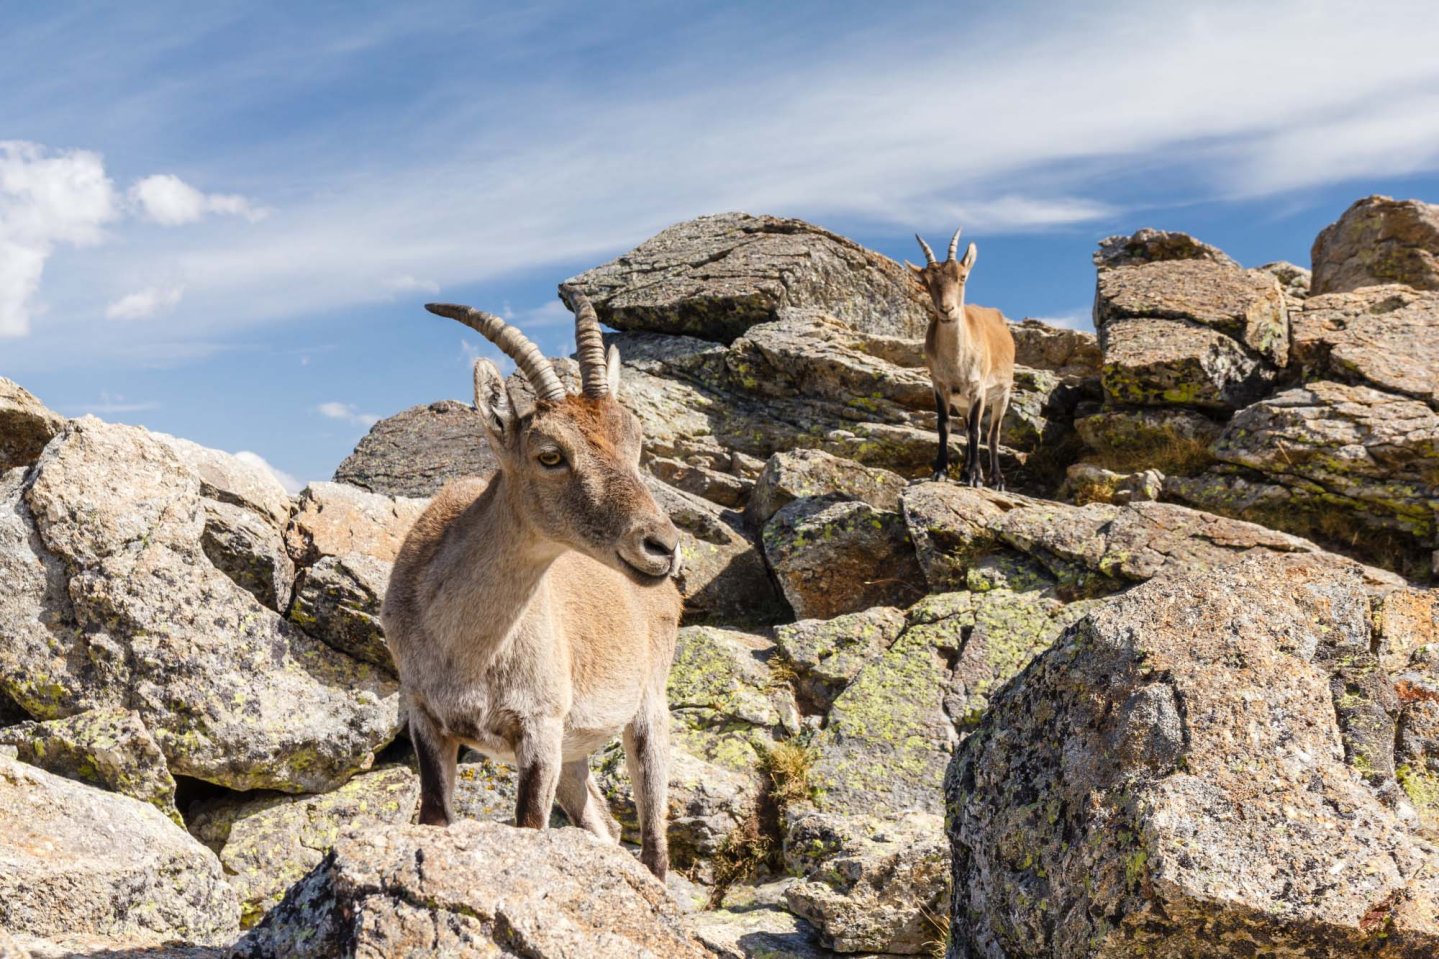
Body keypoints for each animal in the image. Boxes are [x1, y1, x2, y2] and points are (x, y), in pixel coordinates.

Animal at [382, 294, 683, 879]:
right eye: (550, 454)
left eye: (634, 442)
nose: (661, 545)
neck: (467, 644)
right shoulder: (427, 718)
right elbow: (435, 816)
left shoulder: (540, 726)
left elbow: (528, 827)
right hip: (577, 750)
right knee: (604, 825)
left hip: (647, 709)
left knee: (654, 843)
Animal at [907, 228, 1016, 488]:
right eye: (926, 282)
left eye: (962, 276)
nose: (947, 310)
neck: (956, 363)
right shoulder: (940, 385)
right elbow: (944, 425)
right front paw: (941, 471)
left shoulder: (978, 388)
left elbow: (978, 431)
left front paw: (976, 477)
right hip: (963, 404)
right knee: (967, 430)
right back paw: (967, 472)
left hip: (1002, 394)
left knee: (992, 434)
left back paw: (996, 479)